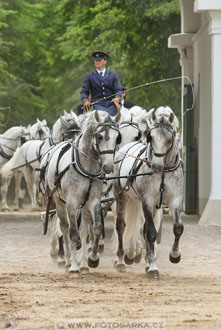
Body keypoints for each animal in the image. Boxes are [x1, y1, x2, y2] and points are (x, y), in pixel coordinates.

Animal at [40, 111, 121, 276]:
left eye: (117, 137)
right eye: (100, 136)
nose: (109, 166)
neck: (85, 164)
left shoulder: (94, 200)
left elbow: (95, 228)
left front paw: (92, 259)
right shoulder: (71, 202)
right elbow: (72, 233)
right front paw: (73, 267)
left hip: (83, 206)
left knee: (84, 230)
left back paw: (83, 264)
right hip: (59, 202)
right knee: (64, 228)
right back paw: (68, 262)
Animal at [112, 107, 183, 278]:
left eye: (170, 139)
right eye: (151, 137)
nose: (156, 166)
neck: (163, 171)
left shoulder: (175, 199)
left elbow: (177, 227)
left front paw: (174, 255)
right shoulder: (147, 200)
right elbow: (151, 232)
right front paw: (152, 268)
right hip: (121, 196)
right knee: (120, 225)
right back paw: (121, 261)